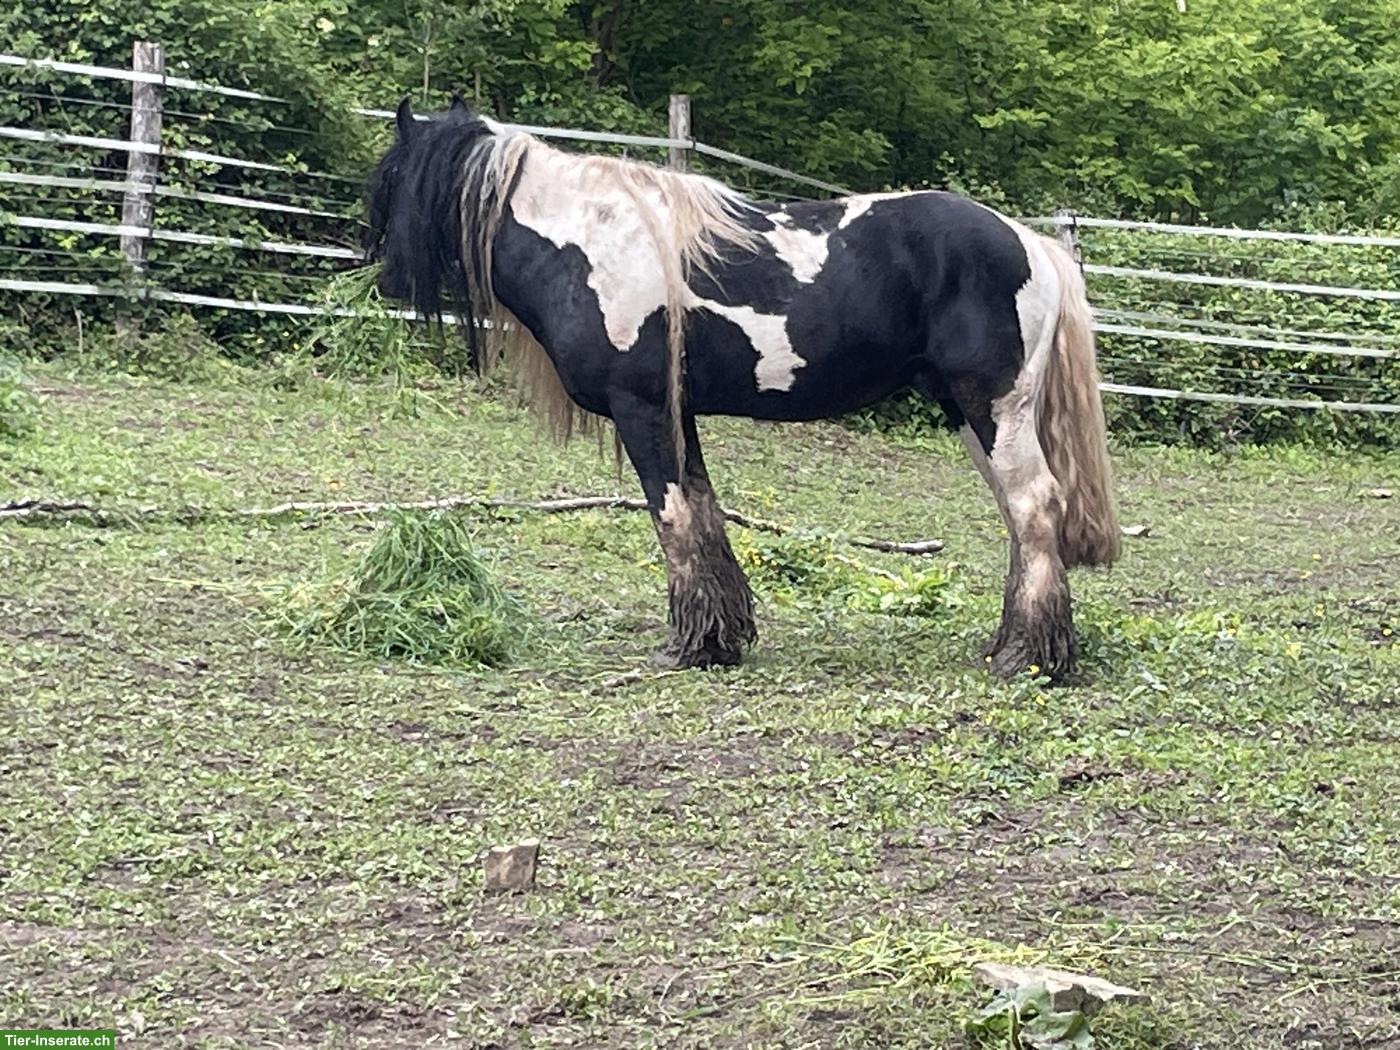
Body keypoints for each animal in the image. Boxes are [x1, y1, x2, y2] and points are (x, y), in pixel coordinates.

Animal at [364, 97, 1120, 679]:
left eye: (393, 180)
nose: (385, 280)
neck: (588, 246)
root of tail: (1030, 243)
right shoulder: (677, 414)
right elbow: (704, 512)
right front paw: (717, 639)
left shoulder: (641, 409)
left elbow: (671, 517)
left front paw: (687, 647)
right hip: (968, 413)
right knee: (1019, 518)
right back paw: (1010, 644)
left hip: (993, 409)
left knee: (1033, 507)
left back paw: (1026, 657)